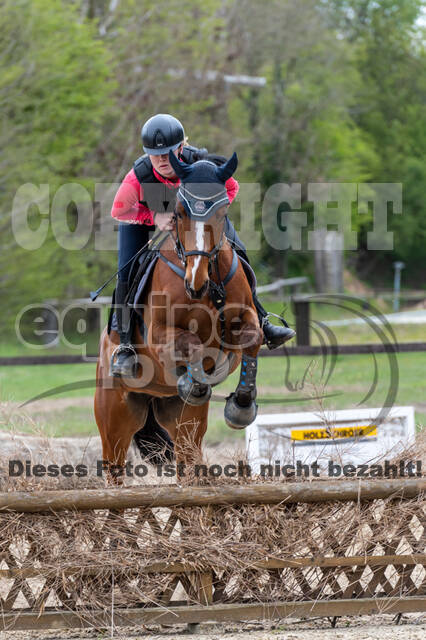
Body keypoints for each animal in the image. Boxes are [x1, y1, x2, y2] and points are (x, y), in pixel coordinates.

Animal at [95, 151, 262, 480]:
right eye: (180, 212)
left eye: (223, 211)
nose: (195, 282)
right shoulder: (160, 333)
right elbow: (191, 342)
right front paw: (194, 383)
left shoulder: (245, 319)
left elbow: (253, 338)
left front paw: (241, 406)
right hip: (115, 421)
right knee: (114, 468)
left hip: (184, 423)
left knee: (188, 458)